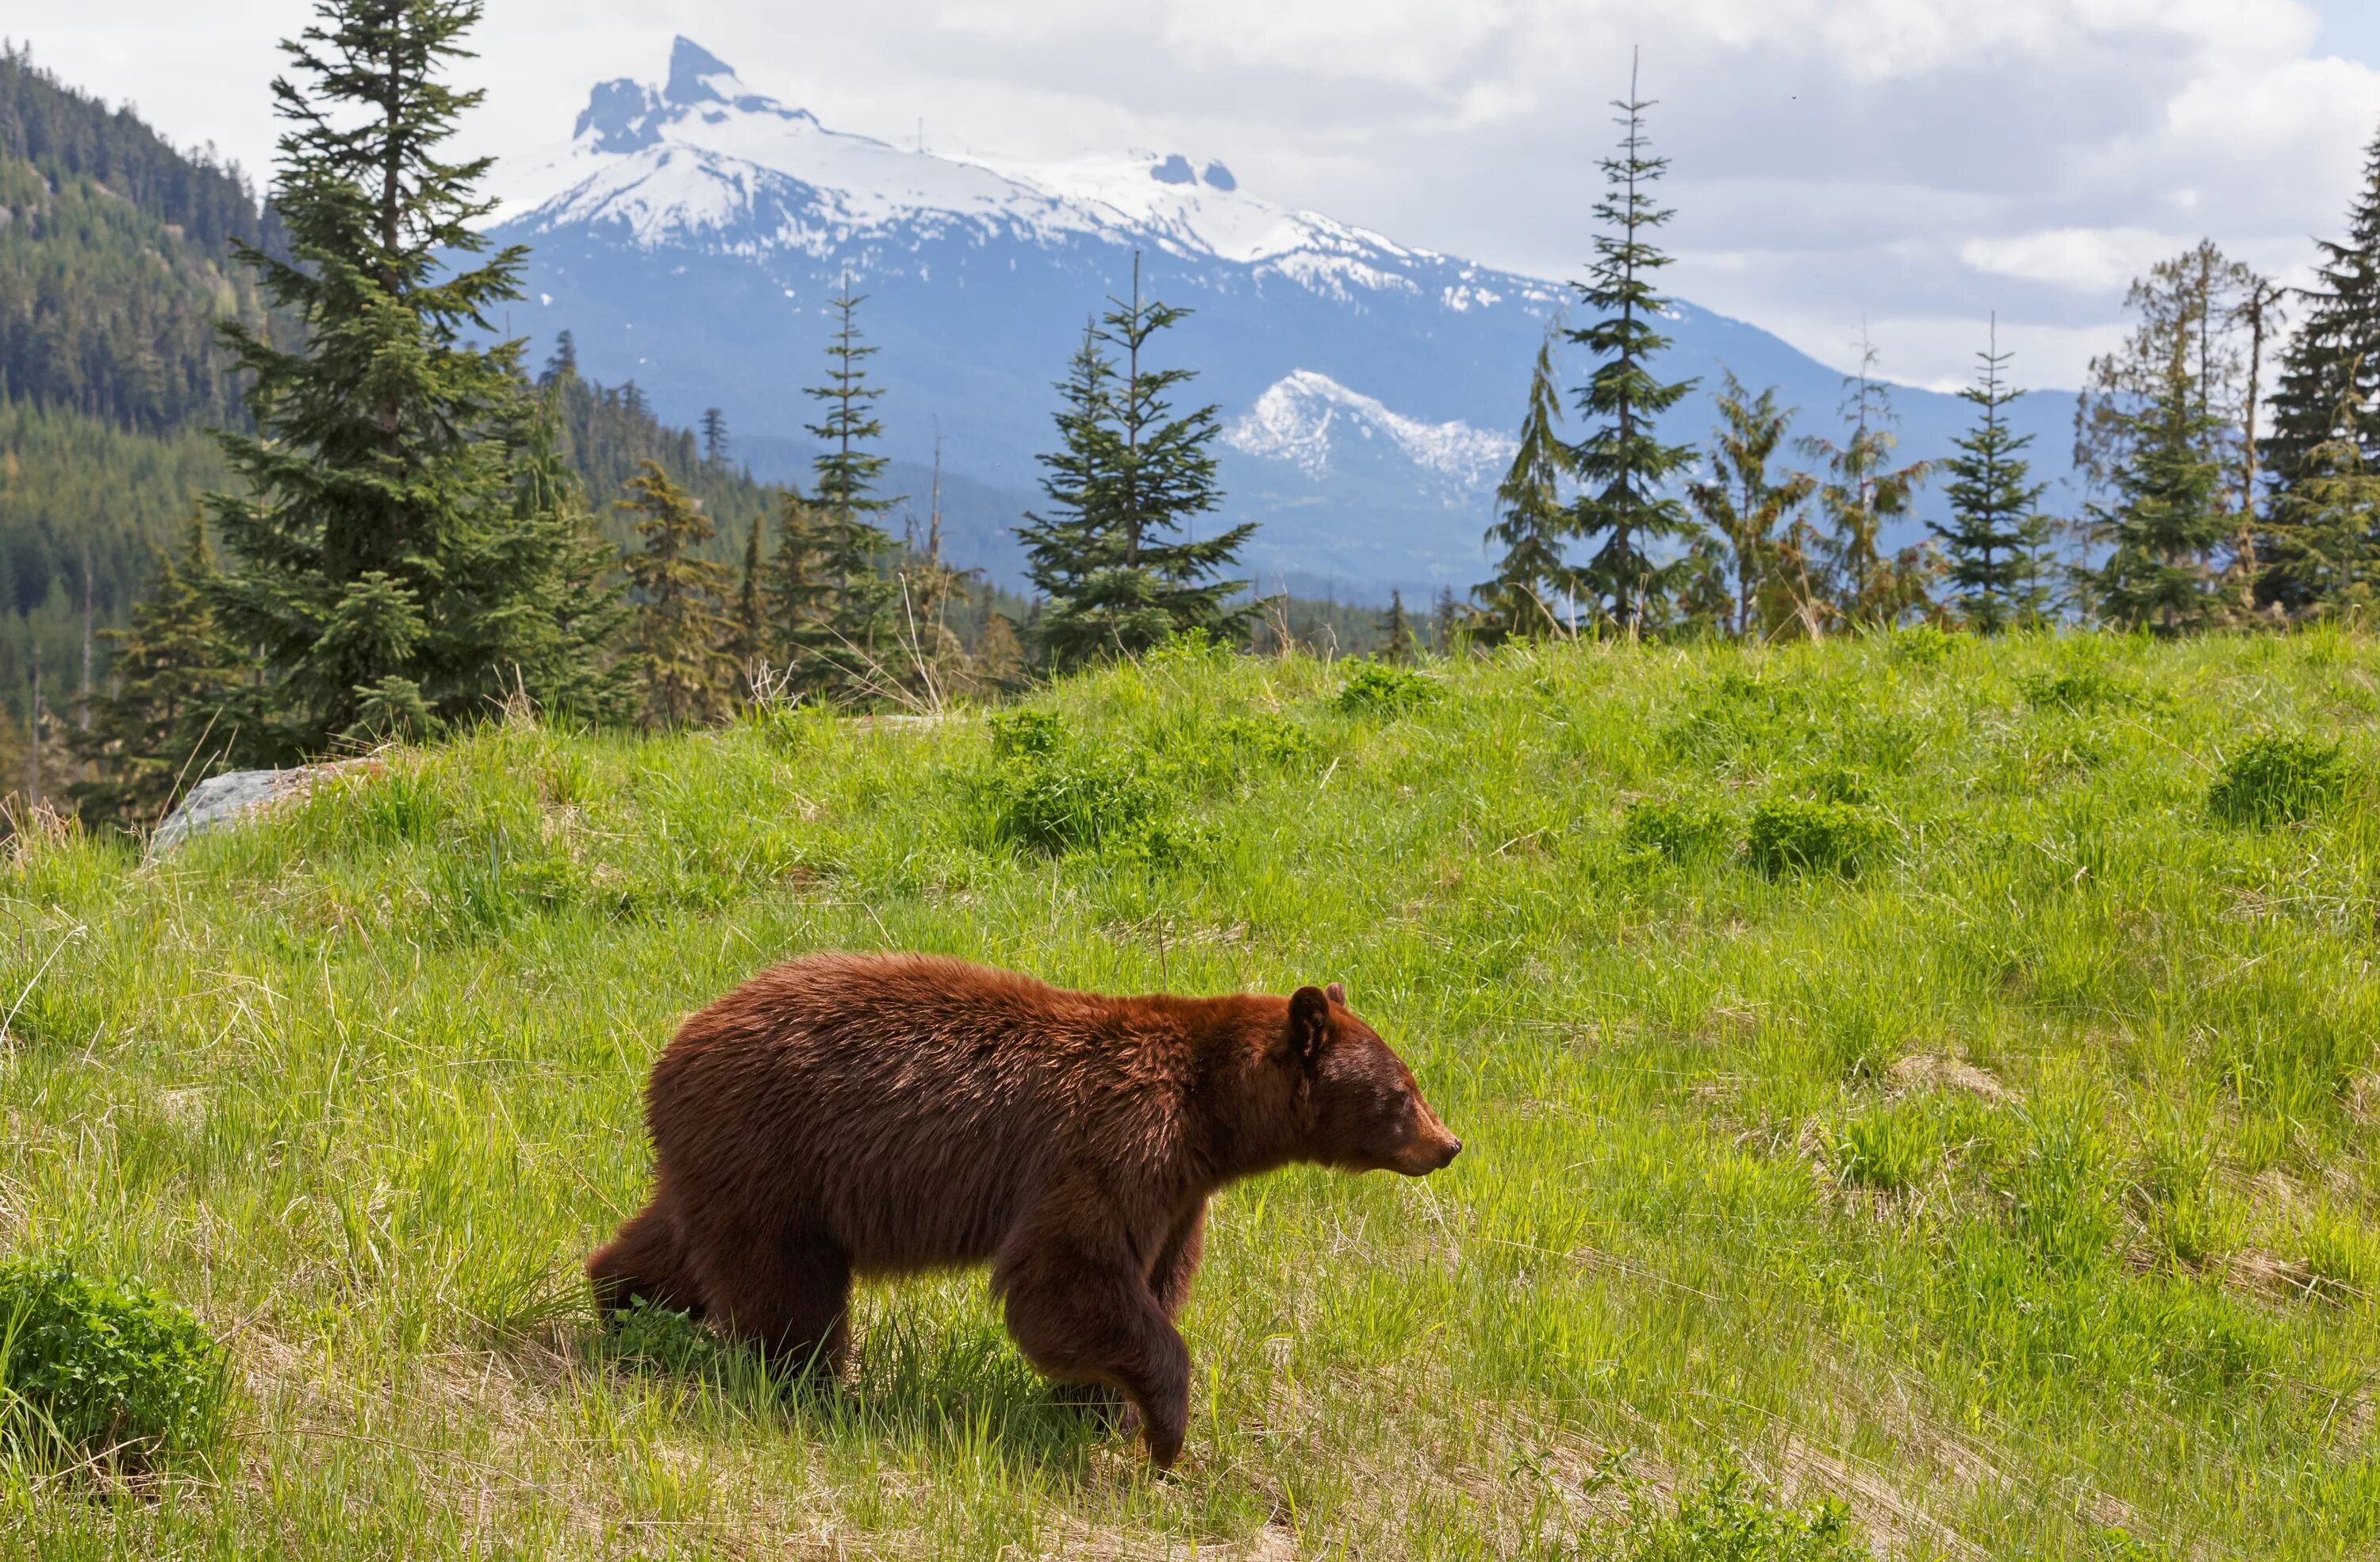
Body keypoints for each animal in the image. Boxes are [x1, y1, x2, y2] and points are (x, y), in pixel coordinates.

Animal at [585, 947, 1457, 1466]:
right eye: (1400, 1091)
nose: (1448, 1144)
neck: (1212, 1116)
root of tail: (674, 1045)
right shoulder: (1117, 1139)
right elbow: (1069, 1271)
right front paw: (1163, 1429)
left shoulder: (1179, 1192)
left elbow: (1150, 1281)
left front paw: (1099, 1410)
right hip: (778, 1153)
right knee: (784, 1289)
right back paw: (813, 1388)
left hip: (724, 1160)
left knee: (675, 1243)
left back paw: (619, 1304)